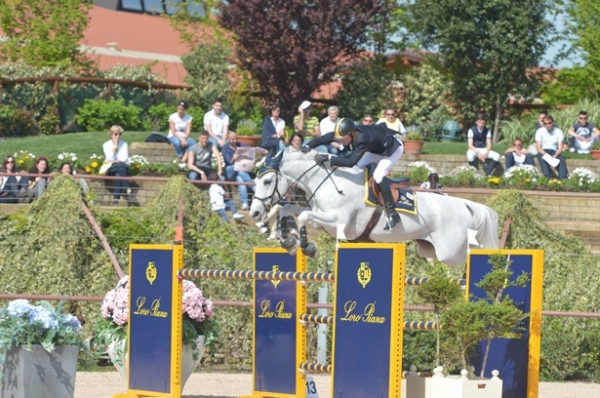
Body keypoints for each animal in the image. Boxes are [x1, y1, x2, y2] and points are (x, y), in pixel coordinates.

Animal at [251, 148, 500, 264]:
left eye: (267, 181)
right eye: (255, 180)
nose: (254, 212)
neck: (327, 182)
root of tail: (464, 204)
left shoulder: (339, 221)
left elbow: (301, 217)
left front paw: (307, 247)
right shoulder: (320, 216)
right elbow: (289, 210)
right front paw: (288, 241)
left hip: (450, 252)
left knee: (472, 255)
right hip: (430, 249)